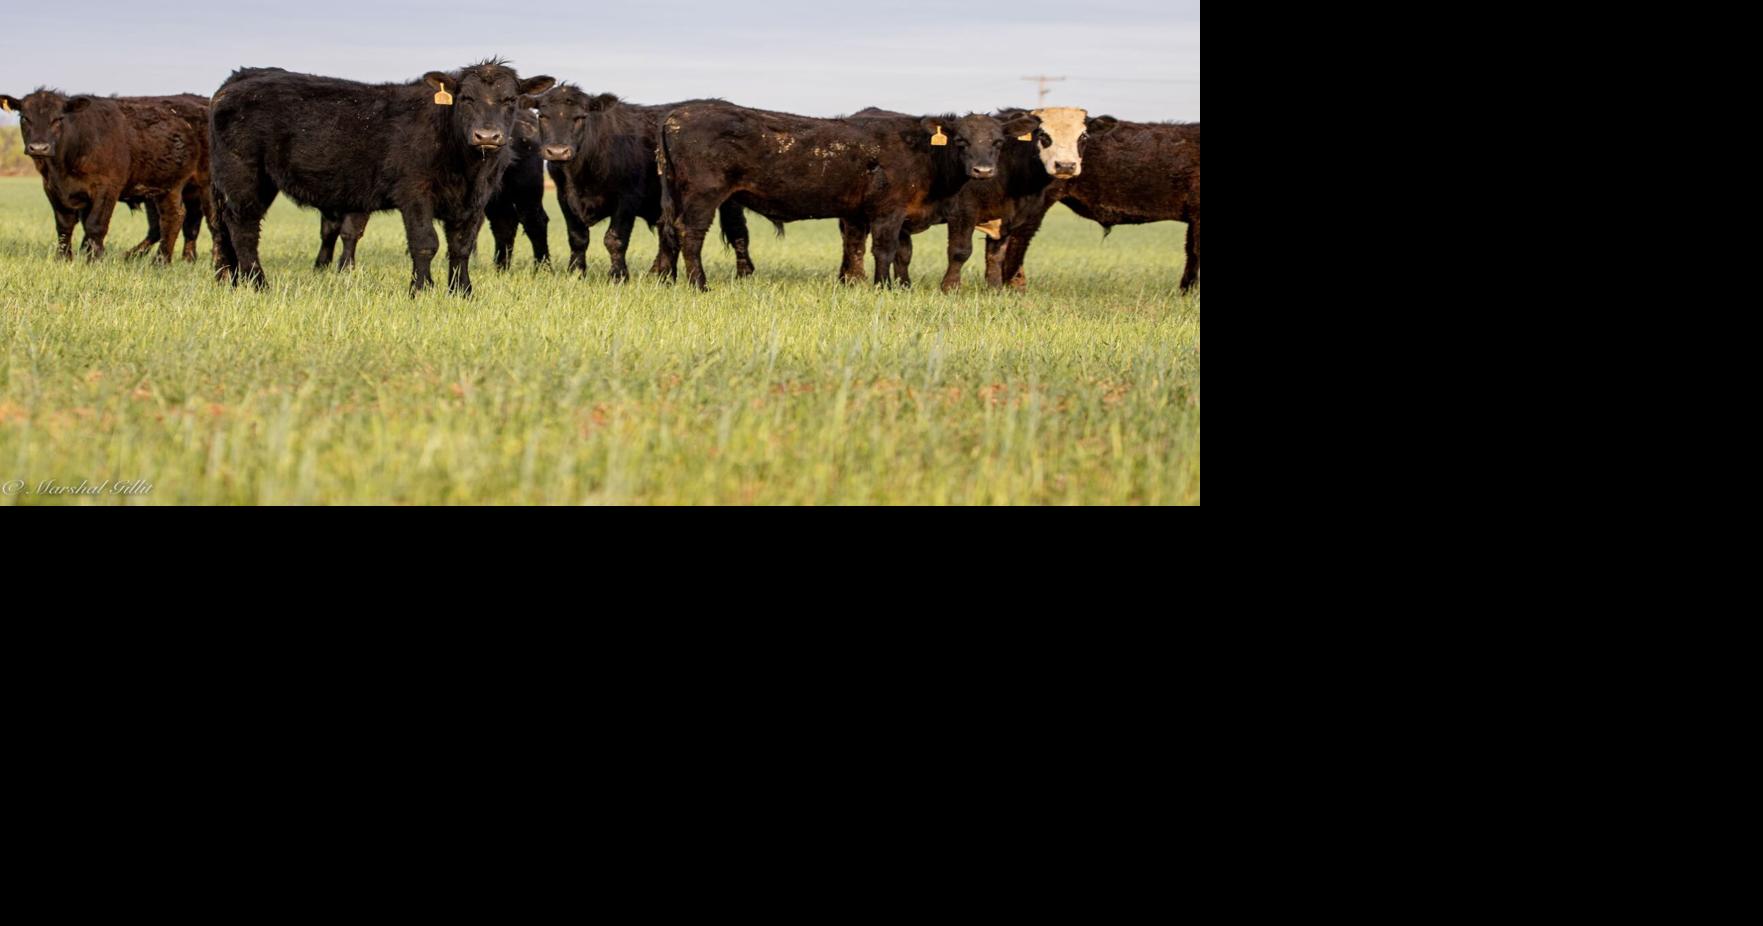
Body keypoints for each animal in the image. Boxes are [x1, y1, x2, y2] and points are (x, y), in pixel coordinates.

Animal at [1, 89, 216, 264]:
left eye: (58, 119)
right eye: (24, 118)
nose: (39, 147)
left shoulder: (107, 188)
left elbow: (95, 225)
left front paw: (94, 260)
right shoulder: (53, 189)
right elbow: (64, 226)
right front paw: (64, 258)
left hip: (202, 186)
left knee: (200, 220)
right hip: (166, 186)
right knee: (175, 219)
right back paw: (166, 260)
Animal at [208, 59, 554, 294]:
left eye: (510, 100)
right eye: (465, 98)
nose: (487, 136)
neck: (466, 166)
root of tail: (242, 77)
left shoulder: (474, 200)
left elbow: (460, 246)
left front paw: (461, 292)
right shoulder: (415, 192)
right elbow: (425, 242)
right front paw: (421, 290)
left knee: (230, 225)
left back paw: (235, 281)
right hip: (243, 174)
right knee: (244, 227)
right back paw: (257, 283)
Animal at [530, 87, 752, 281]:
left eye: (580, 117)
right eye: (542, 116)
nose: (557, 151)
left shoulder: (627, 199)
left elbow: (615, 239)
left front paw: (618, 277)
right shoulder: (564, 198)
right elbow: (577, 238)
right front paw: (576, 274)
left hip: (729, 200)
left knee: (737, 231)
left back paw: (744, 275)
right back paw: (659, 275)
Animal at [657, 101, 1020, 290]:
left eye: (999, 142)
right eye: (961, 141)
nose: (983, 171)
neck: (923, 152)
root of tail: (676, 115)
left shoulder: (871, 213)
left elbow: (872, 250)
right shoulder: (889, 211)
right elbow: (885, 250)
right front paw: (883, 287)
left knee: (670, 231)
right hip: (703, 195)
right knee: (690, 233)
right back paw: (699, 284)